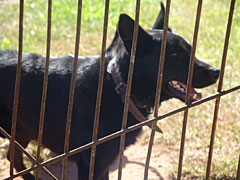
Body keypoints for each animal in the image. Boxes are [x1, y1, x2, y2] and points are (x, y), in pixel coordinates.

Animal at [0, 6, 219, 180]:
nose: (216, 72)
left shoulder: (103, 164)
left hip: (22, 131)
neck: (119, 87)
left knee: (13, 157)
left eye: (191, 50)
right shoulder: (91, 164)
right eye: (175, 55)